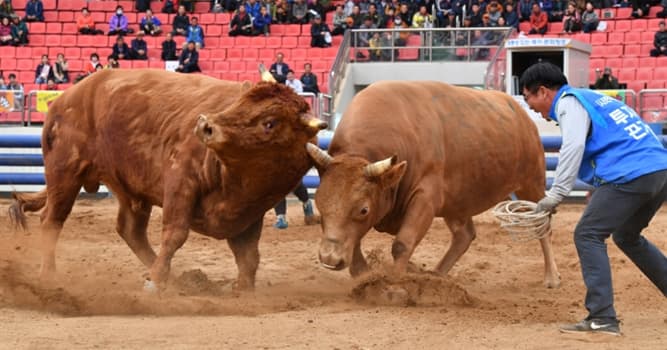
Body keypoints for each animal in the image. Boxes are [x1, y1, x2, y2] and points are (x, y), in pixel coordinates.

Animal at [7, 68, 326, 290]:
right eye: (239, 102)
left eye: (269, 123)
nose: (206, 125)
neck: (237, 177)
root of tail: (66, 97)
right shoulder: (180, 182)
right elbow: (175, 234)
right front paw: (155, 283)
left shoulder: (250, 211)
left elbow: (248, 254)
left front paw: (243, 289)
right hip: (65, 173)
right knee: (52, 220)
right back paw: (49, 274)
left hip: (128, 188)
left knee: (130, 229)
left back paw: (175, 277)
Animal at [308, 80, 564, 288]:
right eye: (319, 204)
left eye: (363, 209)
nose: (330, 259)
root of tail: (521, 115)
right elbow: (355, 242)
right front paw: (363, 275)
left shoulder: (425, 198)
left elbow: (402, 243)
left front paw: (394, 282)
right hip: (458, 201)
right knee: (464, 236)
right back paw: (436, 276)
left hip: (531, 184)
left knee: (543, 227)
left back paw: (551, 276)